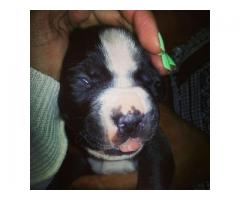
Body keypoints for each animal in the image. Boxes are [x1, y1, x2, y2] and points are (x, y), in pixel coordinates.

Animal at [57, 27, 175, 189]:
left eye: (152, 81)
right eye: (83, 80)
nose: (131, 121)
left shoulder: (157, 145)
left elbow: (154, 179)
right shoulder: (73, 157)